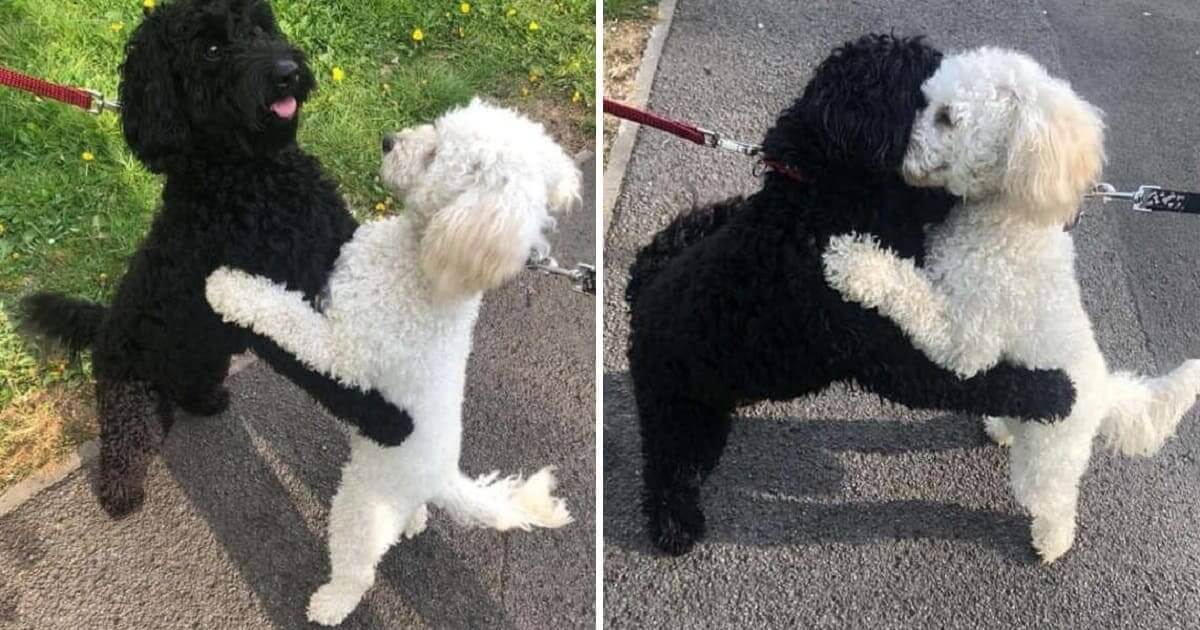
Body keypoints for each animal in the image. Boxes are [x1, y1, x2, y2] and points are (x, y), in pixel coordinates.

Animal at [18, 0, 410, 516]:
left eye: (260, 26)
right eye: (210, 49)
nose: (286, 73)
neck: (250, 174)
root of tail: (104, 323)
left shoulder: (335, 245)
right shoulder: (270, 313)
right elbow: (324, 372)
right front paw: (387, 419)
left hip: (204, 358)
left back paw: (205, 401)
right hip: (130, 395)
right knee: (127, 442)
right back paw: (121, 493)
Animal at [207, 99, 580, 624]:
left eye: (436, 155)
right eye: (438, 128)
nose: (387, 141)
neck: (421, 264)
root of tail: (443, 476)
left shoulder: (344, 351)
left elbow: (286, 315)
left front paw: (228, 289)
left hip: (363, 504)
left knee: (359, 568)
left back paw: (331, 603)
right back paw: (415, 521)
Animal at [628, 34, 1080, 554]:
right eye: (922, 94)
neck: (818, 199)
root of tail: (639, 292)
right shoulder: (887, 354)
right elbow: (974, 380)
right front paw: (1053, 392)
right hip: (675, 414)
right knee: (669, 469)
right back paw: (674, 524)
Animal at [825, 48, 1200, 559]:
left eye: (947, 117)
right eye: (925, 100)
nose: (897, 153)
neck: (1008, 215)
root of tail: (1104, 392)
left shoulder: (966, 340)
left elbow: (910, 290)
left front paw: (854, 263)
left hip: (1048, 458)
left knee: (1055, 501)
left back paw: (1052, 544)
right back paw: (1000, 428)